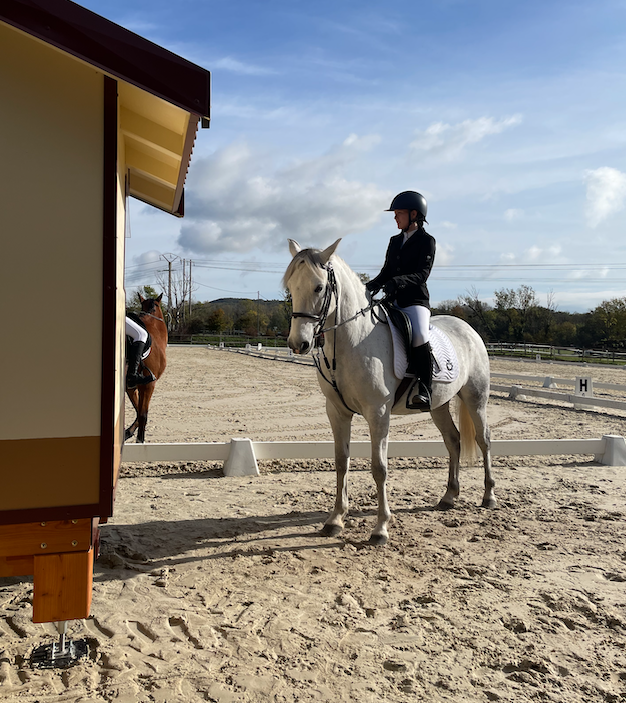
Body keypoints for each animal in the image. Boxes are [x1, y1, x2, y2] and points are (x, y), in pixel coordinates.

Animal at [124, 294, 167, 442]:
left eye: (155, 306)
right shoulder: (149, 385)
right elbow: (143, 414)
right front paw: (139, 439)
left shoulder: (131, 387)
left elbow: (138, 410)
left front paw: (128, 432)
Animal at [282, 239, 492, 548]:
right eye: (290, 286)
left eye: (319, 287)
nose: (299, 344)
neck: (353, 340)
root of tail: (467, 328)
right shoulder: (337, 412)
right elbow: (341, 462)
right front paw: (335, 520)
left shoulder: (378, 413)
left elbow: (379, 467)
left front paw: (380, 529)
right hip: (437, 405)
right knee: (453, 440)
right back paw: (449, 497)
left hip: (476, 399)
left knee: (483, 439)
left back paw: (489, 496)